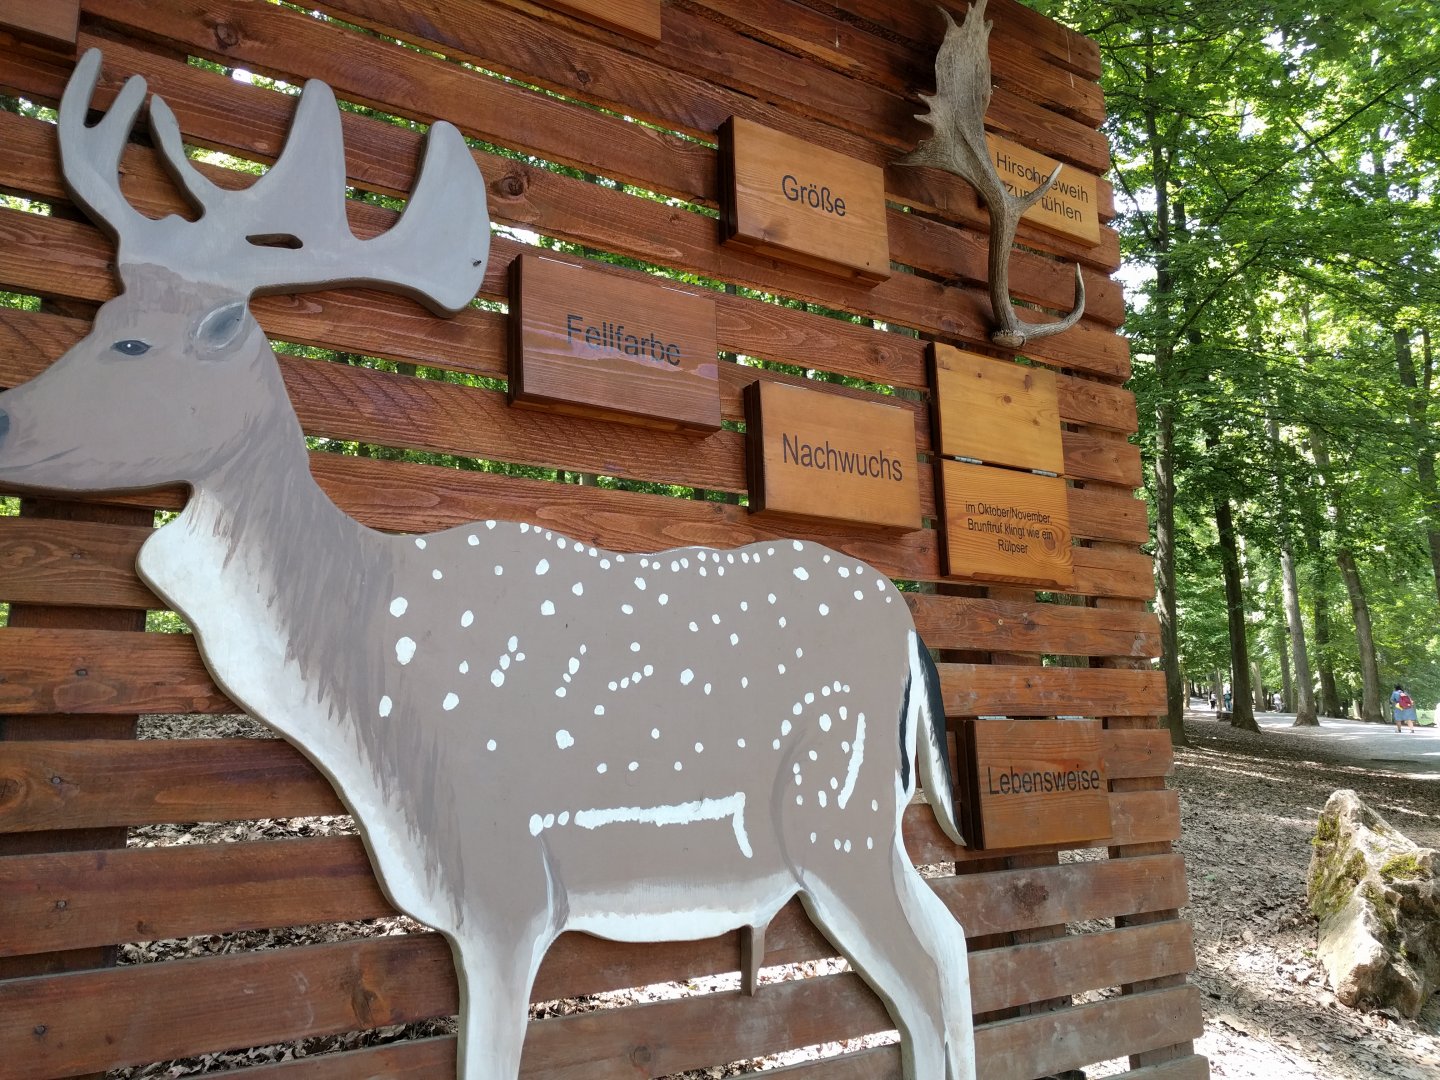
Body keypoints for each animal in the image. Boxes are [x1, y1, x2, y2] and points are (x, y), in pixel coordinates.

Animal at [0, 50, 976, 1080]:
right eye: (104, 312)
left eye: (132, 341)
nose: (2, 418)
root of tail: (912, 628)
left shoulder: (504, 881)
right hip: (867, 825)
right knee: (950, 942)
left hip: (836, 809)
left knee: (924, 964)